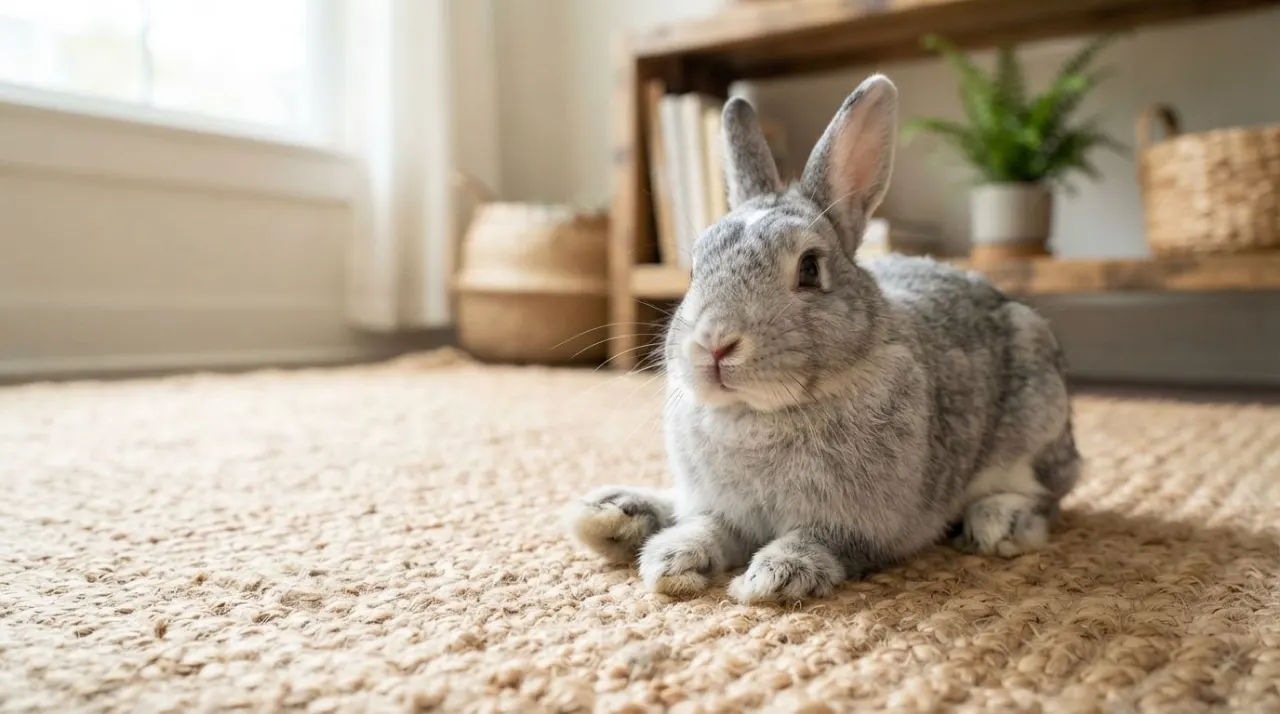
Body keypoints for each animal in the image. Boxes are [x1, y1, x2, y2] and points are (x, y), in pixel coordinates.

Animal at [568, 73, 1080, 605]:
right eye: (694, 269)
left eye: (810, 269)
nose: (714, 344)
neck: (759, 413)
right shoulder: (722, 508)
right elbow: (707, 527)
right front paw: (670, 561)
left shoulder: (862, 527)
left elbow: (817, 540)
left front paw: (771, 578)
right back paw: (612, 514)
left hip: (1036, 422)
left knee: (1046, 495)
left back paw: (1000, 523)